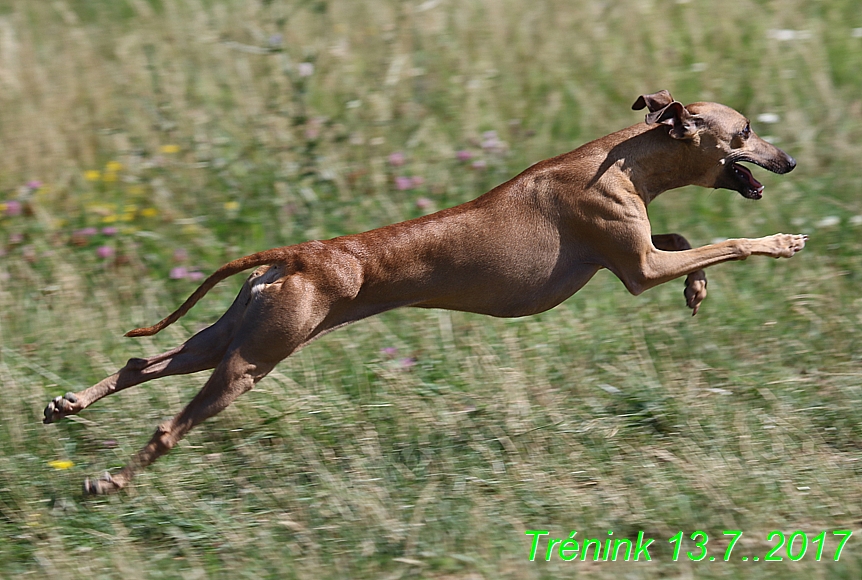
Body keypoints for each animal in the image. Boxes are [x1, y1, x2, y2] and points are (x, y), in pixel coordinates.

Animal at [44, 90, 808, 494]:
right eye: (746, 131)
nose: (791, 160)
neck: (620, 158)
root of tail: (299, 254)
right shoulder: (638, 268)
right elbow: (726, 242)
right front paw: (780, 242)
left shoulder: (637, 256)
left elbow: (685, 241)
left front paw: (698, 290)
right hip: (251, 361)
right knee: (167, 425)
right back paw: (107, 482)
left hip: (230, 337)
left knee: (143, 362)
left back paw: (66, 404)